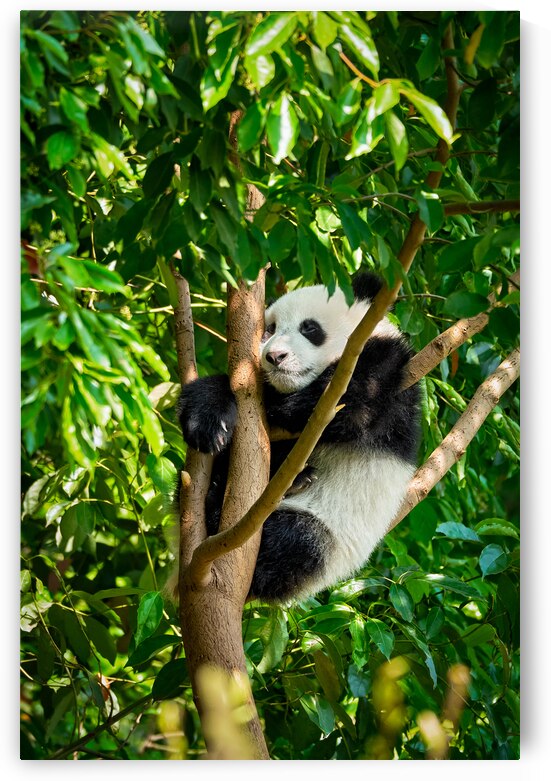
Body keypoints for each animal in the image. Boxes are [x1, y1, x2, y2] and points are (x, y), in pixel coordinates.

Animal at [176, 272, 420, 604]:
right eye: (270, 329)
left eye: (310, 328)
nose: (275, 356)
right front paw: (206, 420)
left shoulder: (391, 380)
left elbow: (349, 403)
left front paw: (283, 406)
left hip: (329, 535)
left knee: (292, 543)